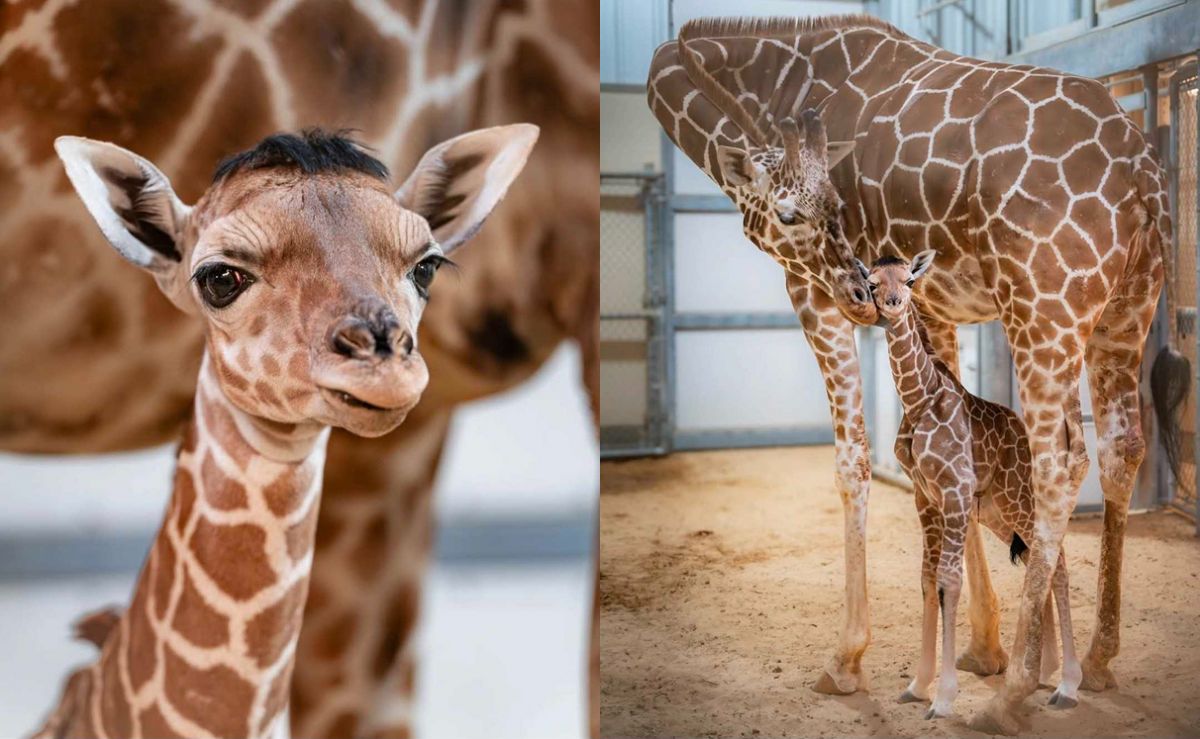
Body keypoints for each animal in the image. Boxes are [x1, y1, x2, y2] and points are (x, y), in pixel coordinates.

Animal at [865, 251, 1083, 718]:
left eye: (910, 280)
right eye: (872, 283)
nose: (892, 303)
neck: (919, 400)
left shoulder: (955, 490)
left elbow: (950, 580)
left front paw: (944, 697)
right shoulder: (926, 496)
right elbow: (927, 579)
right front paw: (917, 685)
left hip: (1019, 499)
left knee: (1056, 561)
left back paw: (1068, 684)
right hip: (996, 511)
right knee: (1039, 558)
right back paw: (1042, 671)